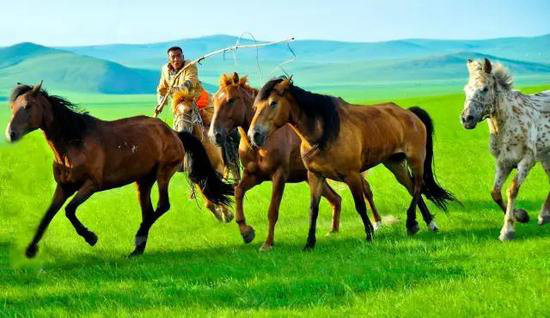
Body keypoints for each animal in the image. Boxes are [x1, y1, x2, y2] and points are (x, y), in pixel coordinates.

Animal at [172, 88, 237, 222]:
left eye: (190, 110)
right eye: (175, 112)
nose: (182, 130)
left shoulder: (218, 169)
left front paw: (226, 214)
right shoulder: (198, 175)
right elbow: (209, 201)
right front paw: (221, 214)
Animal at [210, 72, 384, 251]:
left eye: (231, 100)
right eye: (214, 100)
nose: (214, 135)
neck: (263, 143)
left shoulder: (279, 176)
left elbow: (273, 211)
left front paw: (268, 243)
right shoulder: (253, 175)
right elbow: (238, 192)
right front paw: (246, 232)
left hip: (344, 173)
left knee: (365, 189)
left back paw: (377, 223)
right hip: (315, 177)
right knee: (336, 198)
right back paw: (333, 230)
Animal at [250, 77, 458, 251]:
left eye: (273, 103)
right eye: (255, 106)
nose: (254, 135)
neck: (323, 132)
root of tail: (410, 113)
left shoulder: (351, 175)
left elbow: (360, 205)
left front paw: (369, 235)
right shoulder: (315, 176)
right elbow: (313, 210)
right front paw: (309, 243)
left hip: (415, 160)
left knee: (418, 186)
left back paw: (412, 222)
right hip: (395, 164)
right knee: (412, 187)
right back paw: (428, 223)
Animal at [464, 58, 548, 240]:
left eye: (484, 89)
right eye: (466, 89)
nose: (466, 118)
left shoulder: (526, 162)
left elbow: (512, 190)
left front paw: (507, 231)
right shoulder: (503, 163)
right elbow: (495, 193)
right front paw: (521, 216)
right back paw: (545, 216)